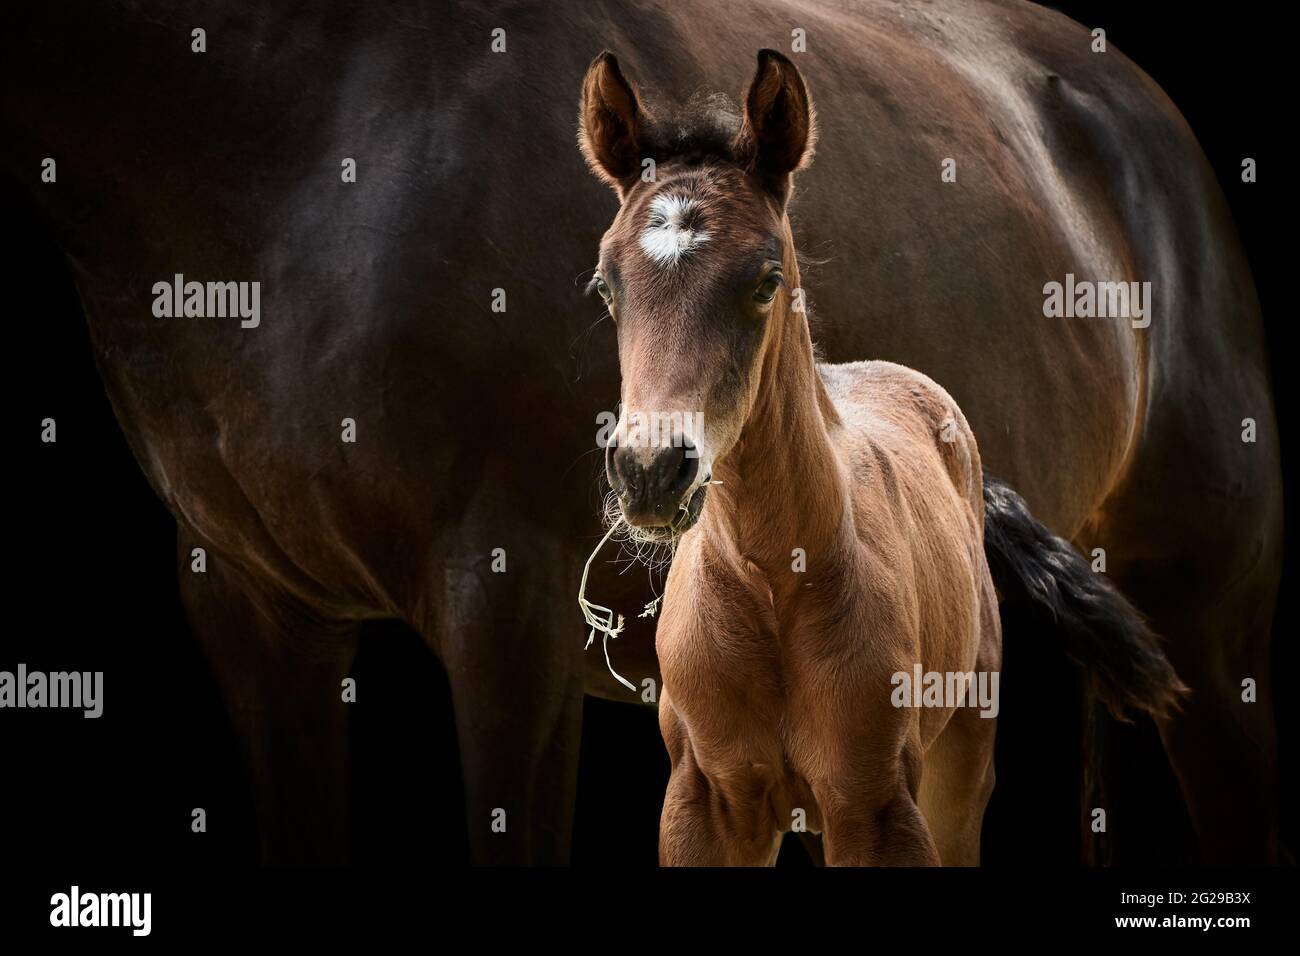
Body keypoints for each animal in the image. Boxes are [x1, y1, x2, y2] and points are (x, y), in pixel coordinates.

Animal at [2, 0, 1279, 868]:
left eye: (767, 280)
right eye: (600, 286)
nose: (651, 469)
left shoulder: (507, 602)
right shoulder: (253, 604)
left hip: (1205, 621)